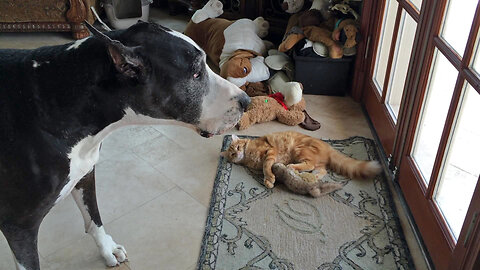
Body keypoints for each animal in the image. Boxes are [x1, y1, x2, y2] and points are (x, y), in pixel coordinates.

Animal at [0, 21, 251, 270]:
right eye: (196, 73)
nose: (246, 101)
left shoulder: (85, 172)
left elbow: (94, 217)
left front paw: (107, 248)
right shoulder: (19, 227)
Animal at [221, 131, 382, 188]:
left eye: (237, 147)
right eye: (232, 154)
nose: (237, 153)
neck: (249, 156)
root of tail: (328, 147)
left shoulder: (269, 152)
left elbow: (266, 167)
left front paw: (269, 179)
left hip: (300, 150)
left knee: (309, 164)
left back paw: (293, 167)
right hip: (315, 162)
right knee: (319, 170)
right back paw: (309, 176)